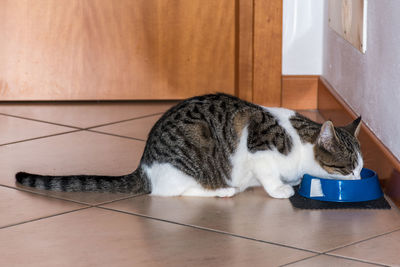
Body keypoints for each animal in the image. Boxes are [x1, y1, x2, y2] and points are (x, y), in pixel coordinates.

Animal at [14, 94, 362, 199]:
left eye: (360, 168)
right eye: (348, 169)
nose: (359, 180)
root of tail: (144, 166)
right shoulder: (260, 150)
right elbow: (268, 175)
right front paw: (280, 189)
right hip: (188, 166)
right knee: (173, 192)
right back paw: (223, 191)